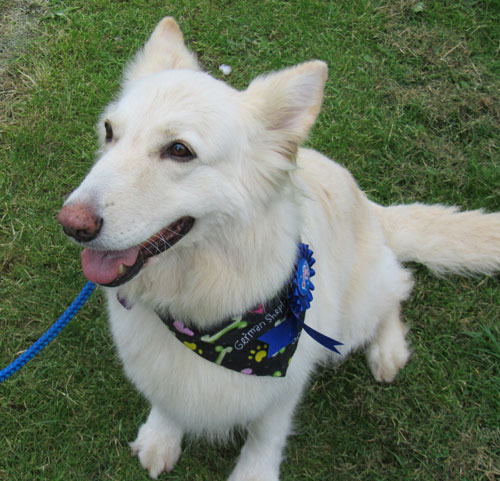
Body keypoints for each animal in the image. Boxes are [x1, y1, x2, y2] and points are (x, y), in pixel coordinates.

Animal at [57, 18, 500, 480]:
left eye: (179, 150)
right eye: (110, 132)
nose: (71, 223)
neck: (201, 305)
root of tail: (371, 207)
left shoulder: (285, 382)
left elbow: (266, 433)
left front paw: (254, 472)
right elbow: (167, 400)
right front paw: (162, 436)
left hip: (355, 314)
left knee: (396, 290)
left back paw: (388, 351)